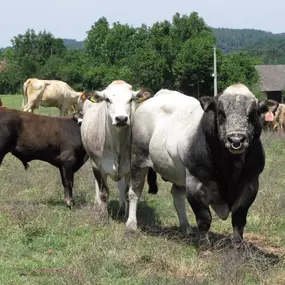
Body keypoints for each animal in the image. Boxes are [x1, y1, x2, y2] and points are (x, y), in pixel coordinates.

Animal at [80, 80, 151, 217]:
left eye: (131, 99)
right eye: (107, 99)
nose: (121, 118)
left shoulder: (130, 168)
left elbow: (127, 192)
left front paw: (126, 215)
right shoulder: (98, 166)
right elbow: (103, 192)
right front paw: (103, 215)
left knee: (121, 185)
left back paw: (122, 207)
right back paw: (97, 203)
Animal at [125, 82, 268, 244]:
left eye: (252, 114)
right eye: (221, 113)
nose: (236, 140)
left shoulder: (251, 185)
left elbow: (239, 220)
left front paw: (238, 245)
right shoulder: (195, 185)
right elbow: (204, 218)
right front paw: (204, 244)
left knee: (177, 195)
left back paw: (186, 227)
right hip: (138, 160)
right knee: (134, 192)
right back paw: (131, 225)